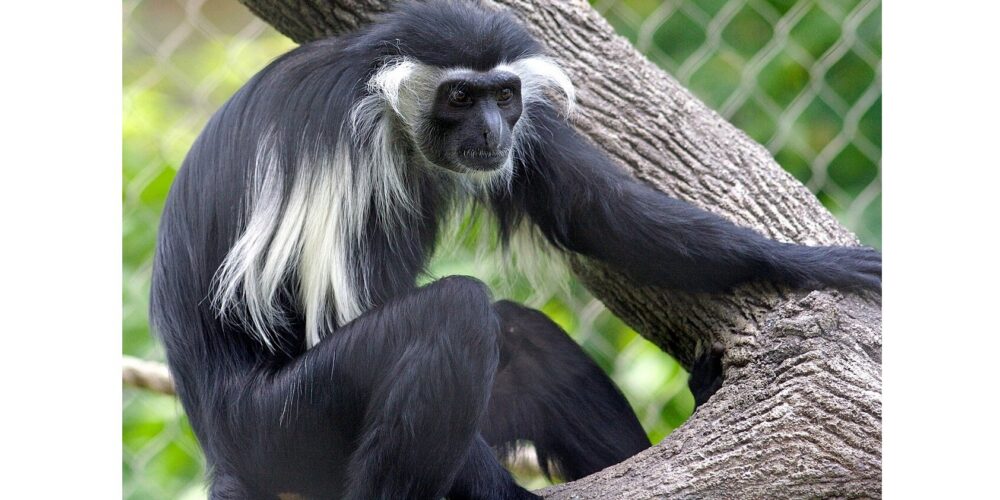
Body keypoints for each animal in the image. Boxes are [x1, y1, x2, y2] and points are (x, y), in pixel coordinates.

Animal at [150, 1, 881, 498]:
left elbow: (597, 211)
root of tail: (221, 447)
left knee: (527, 343)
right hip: (283, 426)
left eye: (503, 96)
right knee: (455, 315)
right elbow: (338, 311)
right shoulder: (341, 149)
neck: (387, 111)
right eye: (458, 96)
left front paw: (814, 263)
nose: (494, 131)